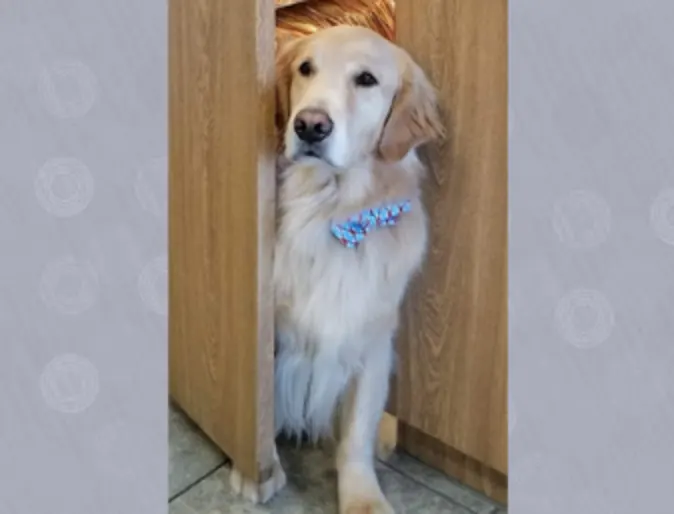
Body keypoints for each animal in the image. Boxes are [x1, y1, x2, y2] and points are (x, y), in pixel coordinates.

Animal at [228, 23, 444, 508]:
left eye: (366, 79)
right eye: (305, 68)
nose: (309, 125)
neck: (330, 209)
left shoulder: (372, 340)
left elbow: (357, 434)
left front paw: (363, 497)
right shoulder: (271, 339)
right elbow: (261, 411)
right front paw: (257, 473)